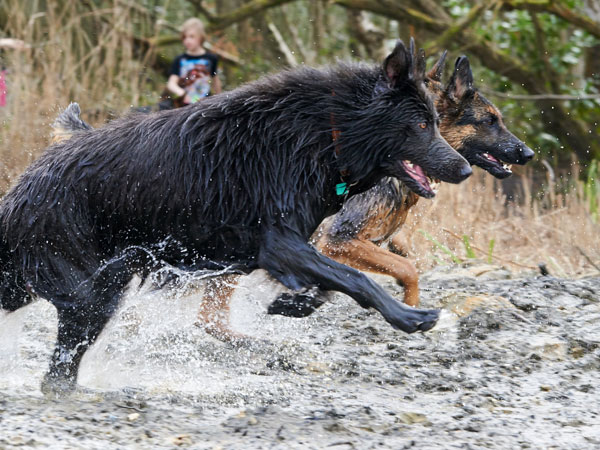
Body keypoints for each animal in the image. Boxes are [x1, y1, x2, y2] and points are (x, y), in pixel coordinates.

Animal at [0, 41, 472, 390]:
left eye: (435, 120)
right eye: (422, 125)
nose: (465, 170)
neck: (328, 132)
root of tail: (24, 186)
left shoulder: (279, 248)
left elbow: (331, 281)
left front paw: (294, 304)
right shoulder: (281, 243)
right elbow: (356, 279)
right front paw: (410, 317)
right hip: (88, 294)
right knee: (58, 373)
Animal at [270, 51, 532, 316]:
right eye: (489, 121)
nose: (529, 154)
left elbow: (401, 254)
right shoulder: (339, 239)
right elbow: (408, 268)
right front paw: (412, 306)